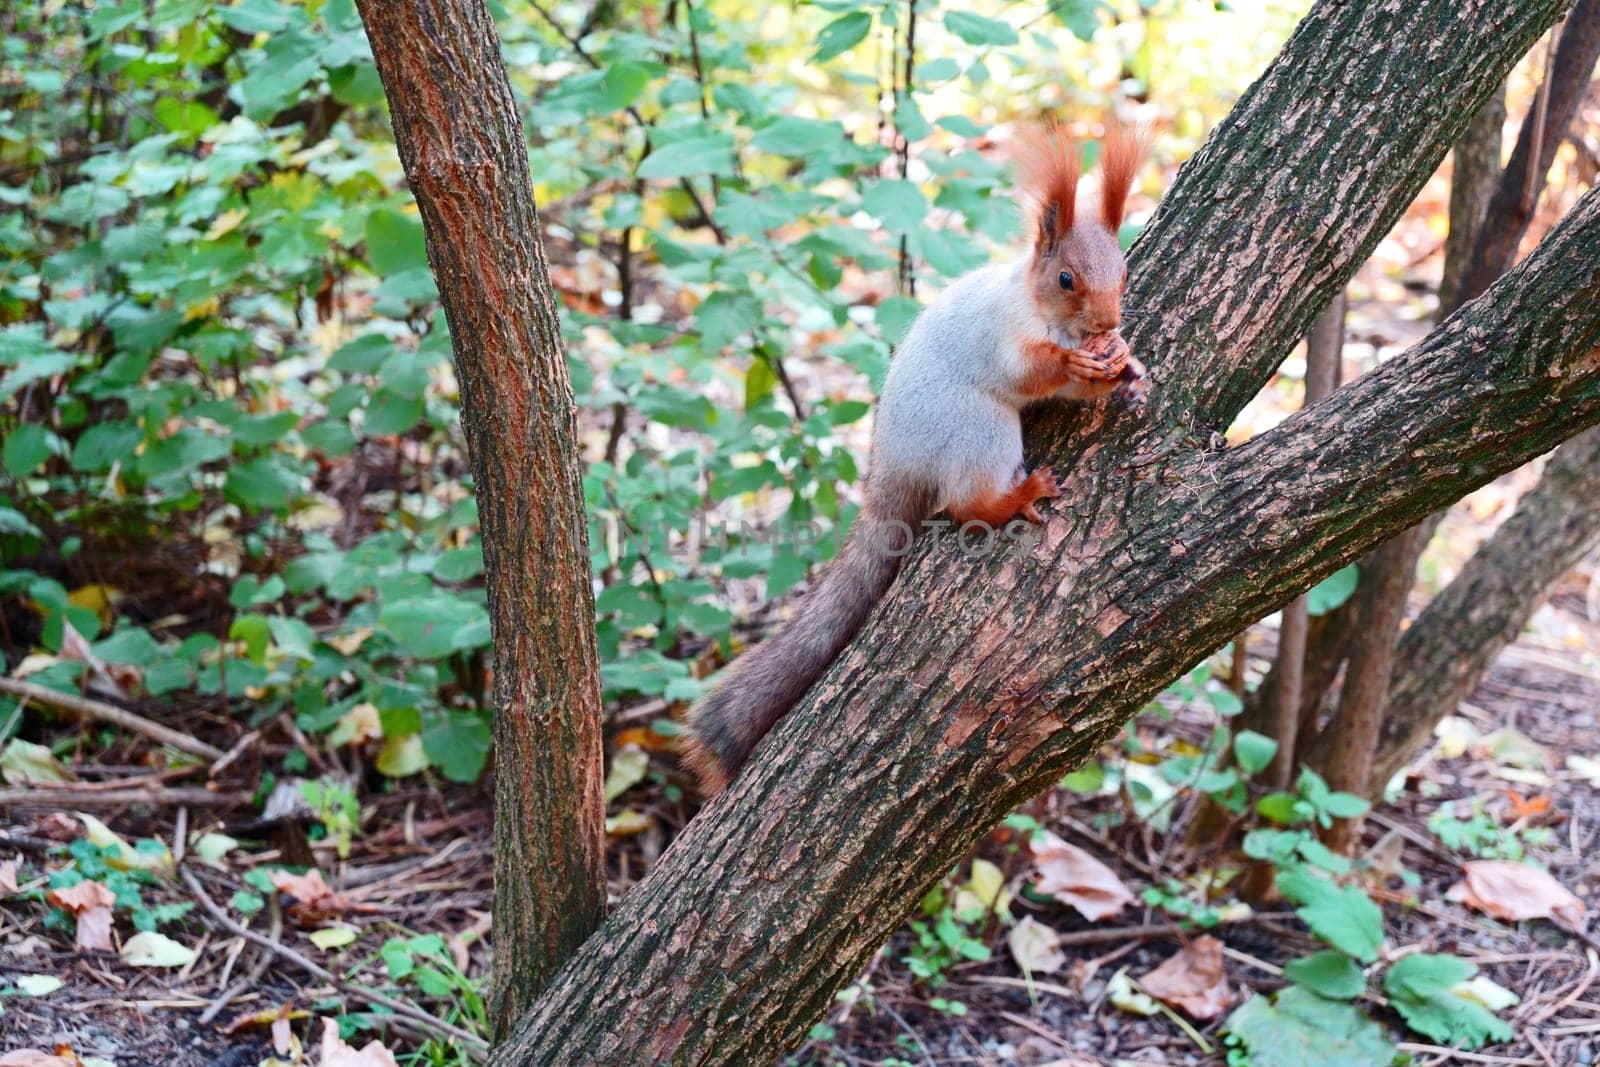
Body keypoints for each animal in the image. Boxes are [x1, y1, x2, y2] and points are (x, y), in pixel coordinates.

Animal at [684, 123, 1152, 793]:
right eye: (1066, 279)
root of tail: (889, 476)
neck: (1037, 307)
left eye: (1124, 271)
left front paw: (1126, 365)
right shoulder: (1003, 336)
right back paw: (1018, 495)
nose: (1109, 320)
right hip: (977, 426)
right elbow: (1035, 372)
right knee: (964, 503)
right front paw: (1078, 361)